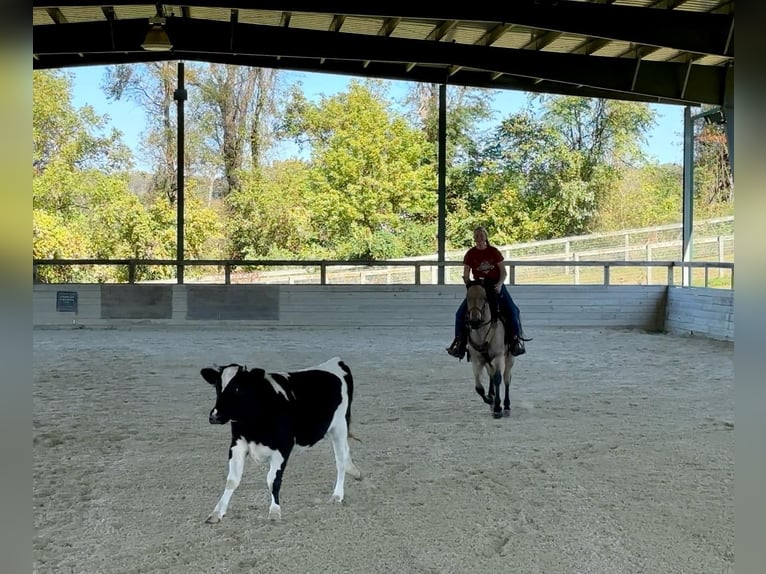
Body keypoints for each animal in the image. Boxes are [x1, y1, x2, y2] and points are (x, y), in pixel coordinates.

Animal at [201, 358, 364, 524]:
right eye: (218, 387)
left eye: (237, 388)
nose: (214, 416)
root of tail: (336, 361)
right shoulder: (237, 445)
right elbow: (232, 480)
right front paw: (217, 512)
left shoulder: (283, 447)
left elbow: (273, 480)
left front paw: (274, 511)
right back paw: (354, 471)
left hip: (340, 426)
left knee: (340, 460)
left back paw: (337, 495)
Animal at [464, 282, 512, 418]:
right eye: (468, 298)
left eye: (484, 298)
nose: (474, 320)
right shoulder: (477, 360)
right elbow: (478, 387)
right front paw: (490, 400)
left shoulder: (498, 357)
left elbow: (498, 378)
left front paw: (498, 408)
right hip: (487, 362)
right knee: (491, 374)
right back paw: (491, 397)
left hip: (509, 358)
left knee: (506, 378)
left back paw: (506, 406)